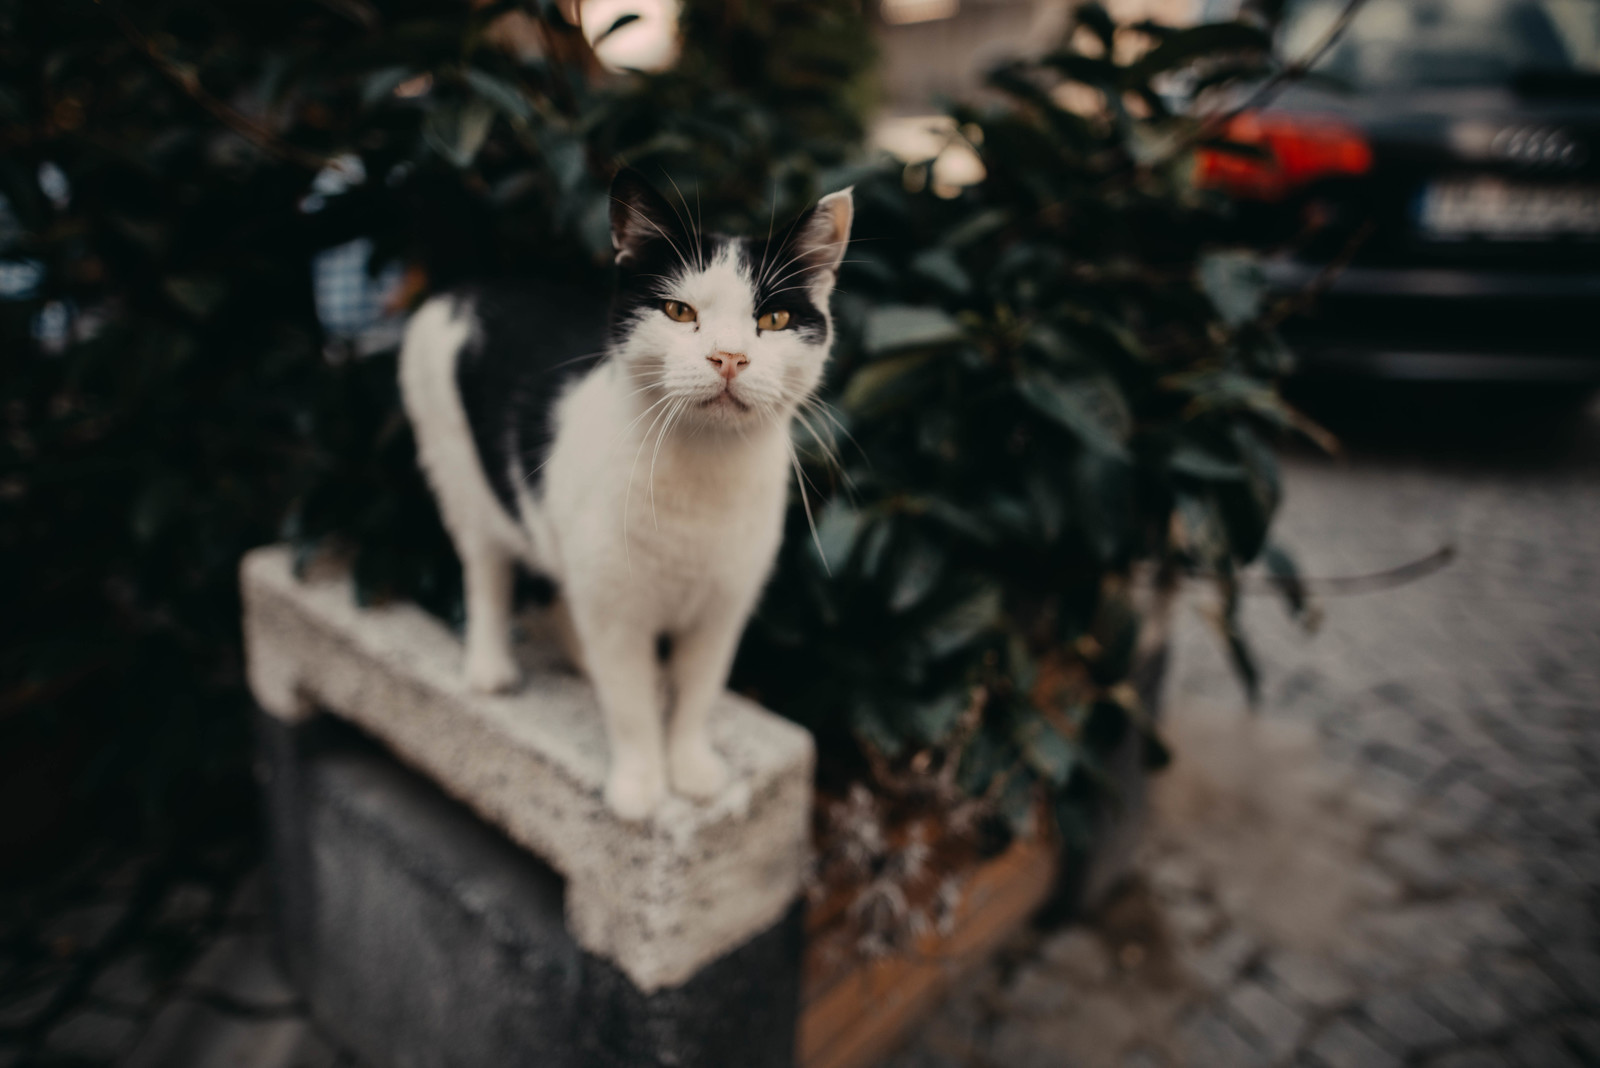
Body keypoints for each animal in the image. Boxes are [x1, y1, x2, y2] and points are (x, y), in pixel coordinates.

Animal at [398, 171, 851, 818]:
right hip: (458, 472)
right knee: (487, 571)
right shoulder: (616, 610)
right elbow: (631, 707)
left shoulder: (723, 608)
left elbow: (697, 692)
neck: (702, 481)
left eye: (774, 319)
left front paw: (690, 768)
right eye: (678, 311)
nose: (729, 357)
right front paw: (639, 786)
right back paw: (490, 667)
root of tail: (470, 286)